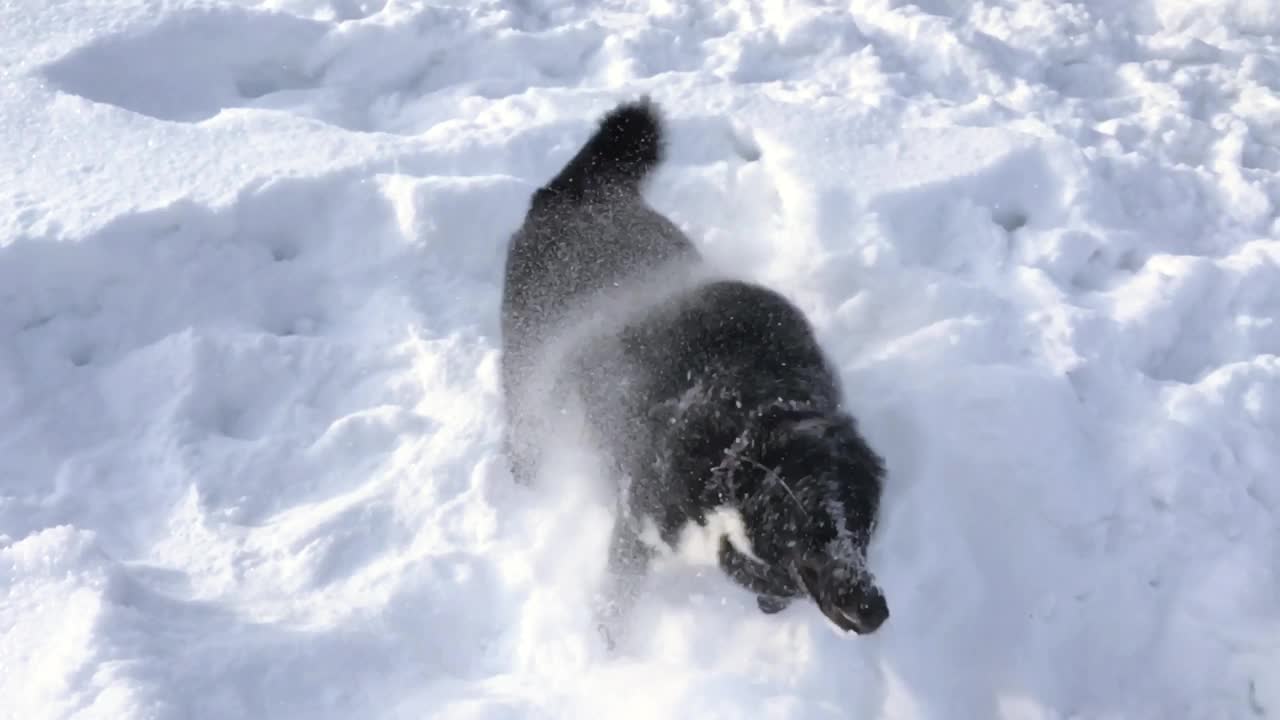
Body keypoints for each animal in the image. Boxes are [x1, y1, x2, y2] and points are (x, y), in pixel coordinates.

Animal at [499, 98, 890, 635]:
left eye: (862, 518)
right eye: (809, 521)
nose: (874, 609)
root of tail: (579, 192)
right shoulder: (635, 526)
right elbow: (614, 607)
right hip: (530, 357)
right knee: (525, 422)